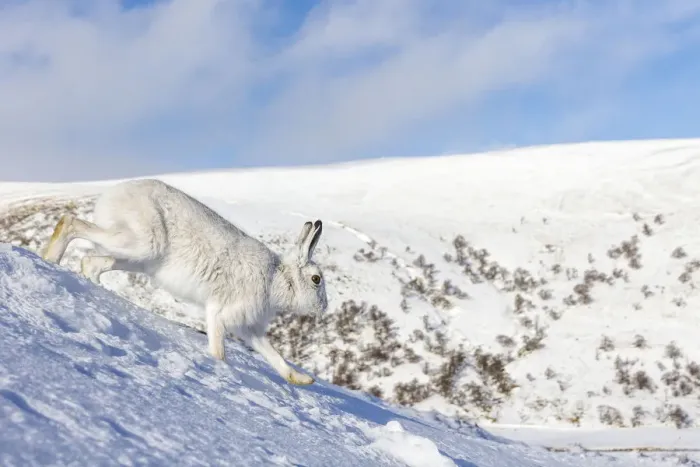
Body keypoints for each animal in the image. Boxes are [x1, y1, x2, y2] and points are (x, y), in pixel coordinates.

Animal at [42, 178, 327, 385]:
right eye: (316, 279)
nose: (324, 308)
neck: (276, 278)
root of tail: (112, 194)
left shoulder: (249, 326)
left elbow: (274, 355)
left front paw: (302, 380)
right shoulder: (222, 313)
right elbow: (219, 350)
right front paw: (221, 370)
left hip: (137, 257)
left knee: (91, 263)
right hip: (142, 242)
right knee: (70, 223)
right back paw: (49, 259)